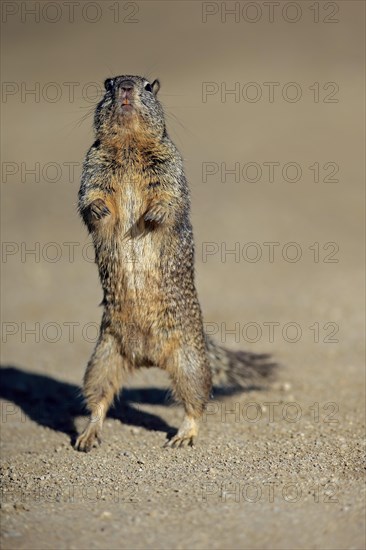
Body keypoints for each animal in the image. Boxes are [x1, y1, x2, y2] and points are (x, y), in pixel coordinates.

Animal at [75, 74, 274, 452]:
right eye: (108, 84)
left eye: (147, 86)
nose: (125, 87)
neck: (129, 144)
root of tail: (145, 356)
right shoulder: (91, 167)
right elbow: (89, 198)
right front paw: (99, 208)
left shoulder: (171, 170)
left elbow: (169, 199)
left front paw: (152, 214)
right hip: (103, 358)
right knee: (99, 397)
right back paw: (88, 435)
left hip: (189, 362)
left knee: (196, 401)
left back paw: (184, 435)